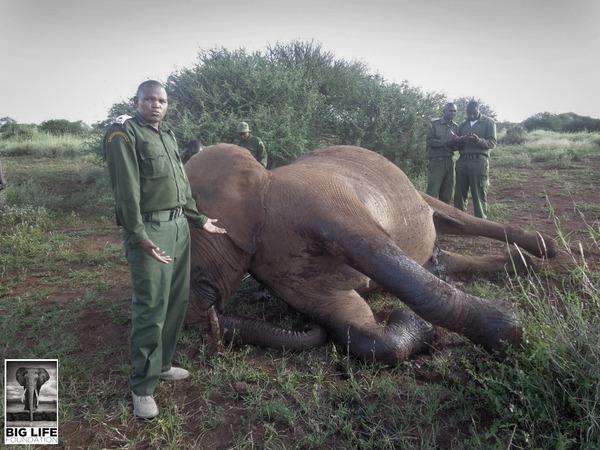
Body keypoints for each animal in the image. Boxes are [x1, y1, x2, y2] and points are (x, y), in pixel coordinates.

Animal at [184, 145, 556, 366]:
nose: (305, 323)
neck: (262, 187)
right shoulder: (277, 265)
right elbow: (355, 324)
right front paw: (415, 327)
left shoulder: (321, 201)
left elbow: (382, 255)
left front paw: (507, 332)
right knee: (443, 252)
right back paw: (514, 263)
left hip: (415, 192)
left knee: (458, 219)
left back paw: (543, 248)